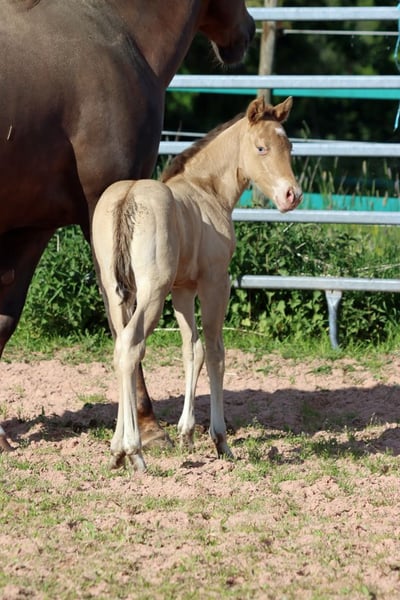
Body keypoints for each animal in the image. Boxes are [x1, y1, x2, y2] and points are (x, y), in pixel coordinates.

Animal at [0, 0, 255, 452]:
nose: (249, 29)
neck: (117, 29)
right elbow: (123, 318)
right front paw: (147, 425)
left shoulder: (31, 228)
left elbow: (4, 321)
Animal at [92, 95, 302, 470]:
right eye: (261, 147)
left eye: (289, 146)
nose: (292, 196)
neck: (206, 190)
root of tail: (127, 198)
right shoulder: (215, 281)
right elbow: (217, 351)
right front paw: (220, 440)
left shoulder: (183, 289)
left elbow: (193, 349)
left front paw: (186, 433)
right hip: (152, 291)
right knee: (131, 346)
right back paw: (134, 451)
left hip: (116, 290)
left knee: (119, 347)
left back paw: (117, 451)